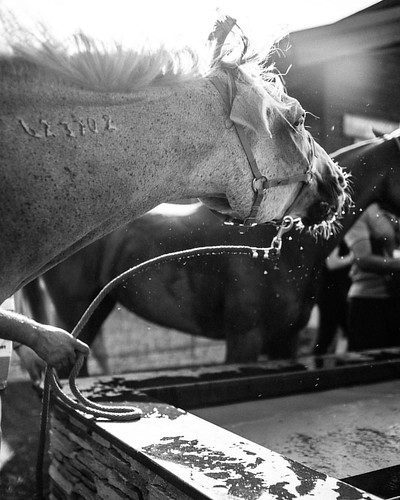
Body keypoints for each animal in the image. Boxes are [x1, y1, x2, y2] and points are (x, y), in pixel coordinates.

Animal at [18, 130, 400, 376]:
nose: (337, 189)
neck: (277, 253)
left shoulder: (286, 340)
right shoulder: (244, 340)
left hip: (98, 310)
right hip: (75, 313)